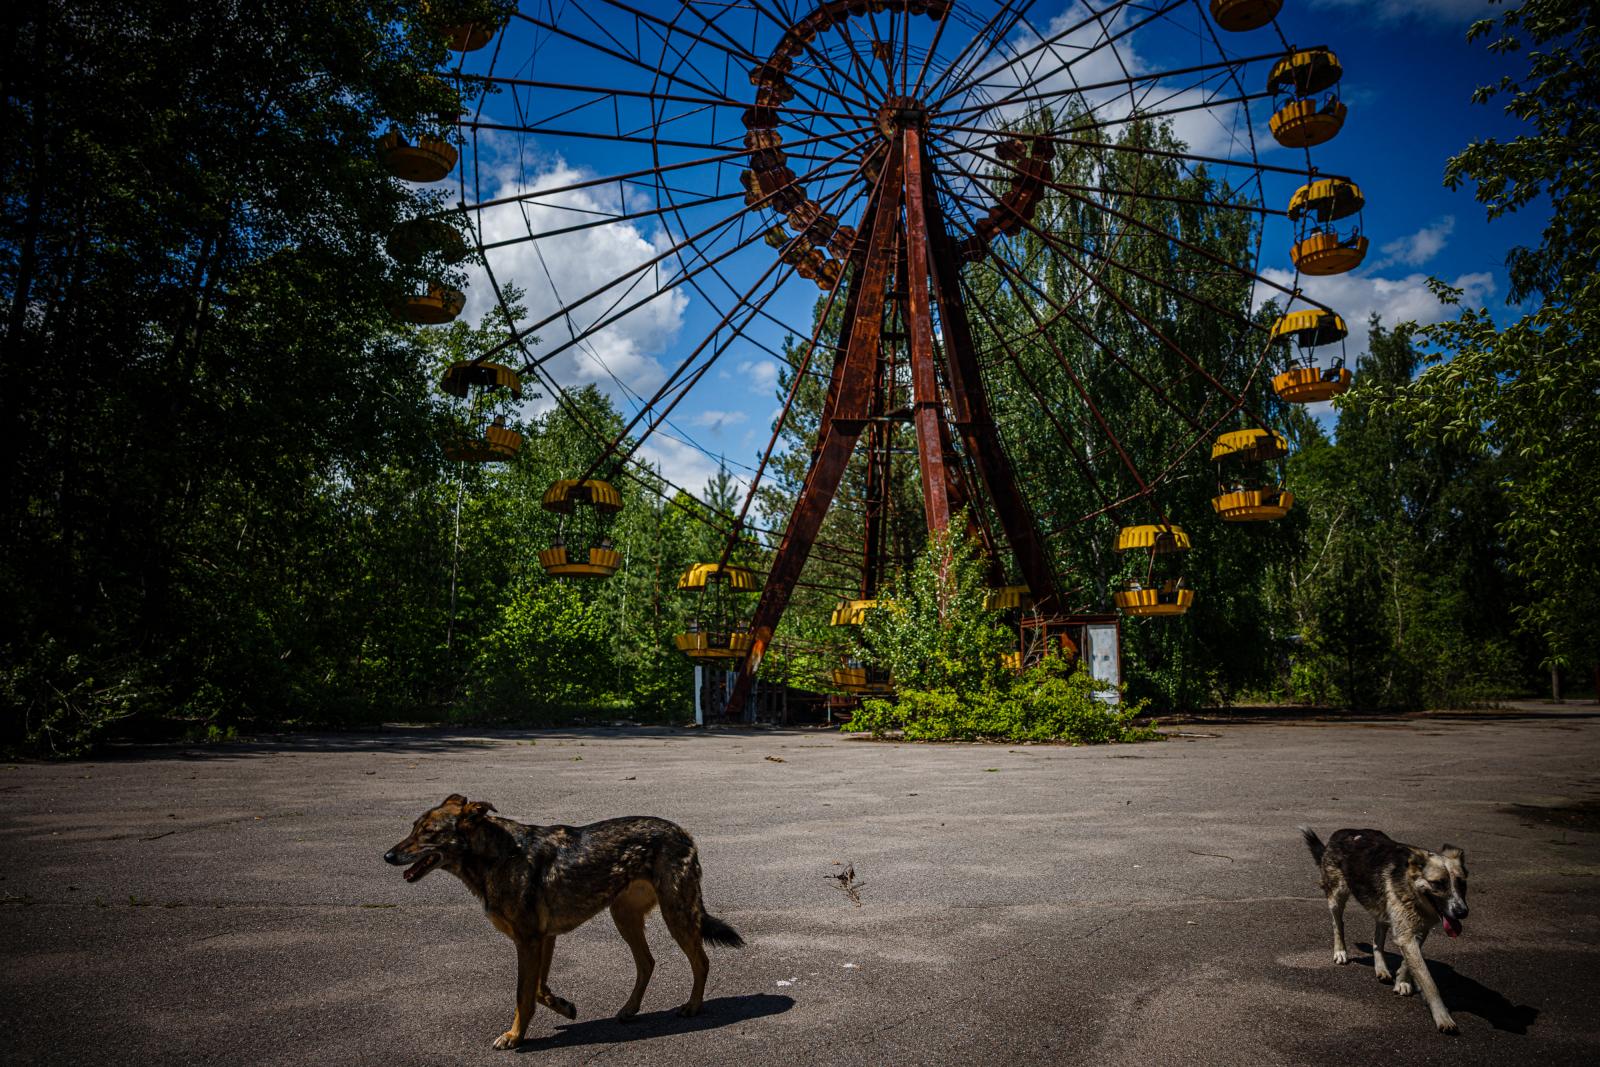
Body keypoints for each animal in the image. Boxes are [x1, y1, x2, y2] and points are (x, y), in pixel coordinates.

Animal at [387, 796, 742, 1049]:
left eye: (428, 833)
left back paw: (693, 1006)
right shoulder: (542, 939)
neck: (498, 856)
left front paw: (515, 1036)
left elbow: (523, 993)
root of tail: (683, 832)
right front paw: (563, 1007)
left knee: (701, 961)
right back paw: (630, 1008)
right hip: (624, 916)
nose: (388, 856)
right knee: (648, 962)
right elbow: (538, 990)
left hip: (676, 914)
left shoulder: (529, 940)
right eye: (413, 827)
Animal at [1299, 825, 1472, 1036]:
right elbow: (1428, 980)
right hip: (1337, 897)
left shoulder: (1418, 930)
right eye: (1438, 883)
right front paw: (1442, 1016)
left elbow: (1409, 962)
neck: (1411, 888)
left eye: (1461, 883)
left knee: (1377, 939)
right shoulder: (1407, 935)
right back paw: (1340, 951)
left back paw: (1381, 967)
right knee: (1337, 925)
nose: (1462, 912)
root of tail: (1344, 831)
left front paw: (1403, 981)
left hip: (1381, 906)